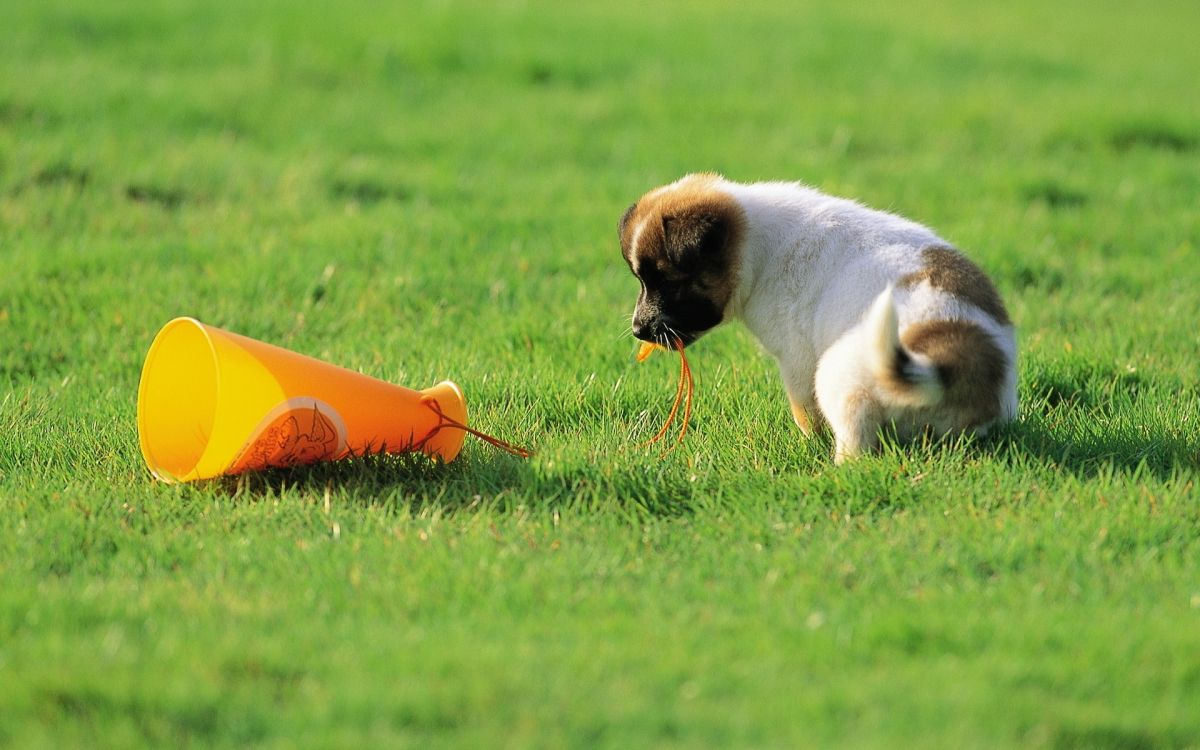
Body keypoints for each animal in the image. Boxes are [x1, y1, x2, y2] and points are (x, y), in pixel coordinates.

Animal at [624, 174, 1017, 463]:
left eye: (668, 281)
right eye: (641, 280)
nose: (638, 330)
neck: (757, 246)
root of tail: (948, 368)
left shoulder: (797, 359)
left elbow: (804, 410)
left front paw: (809, 442)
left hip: (836, 376)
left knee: (856, 443)